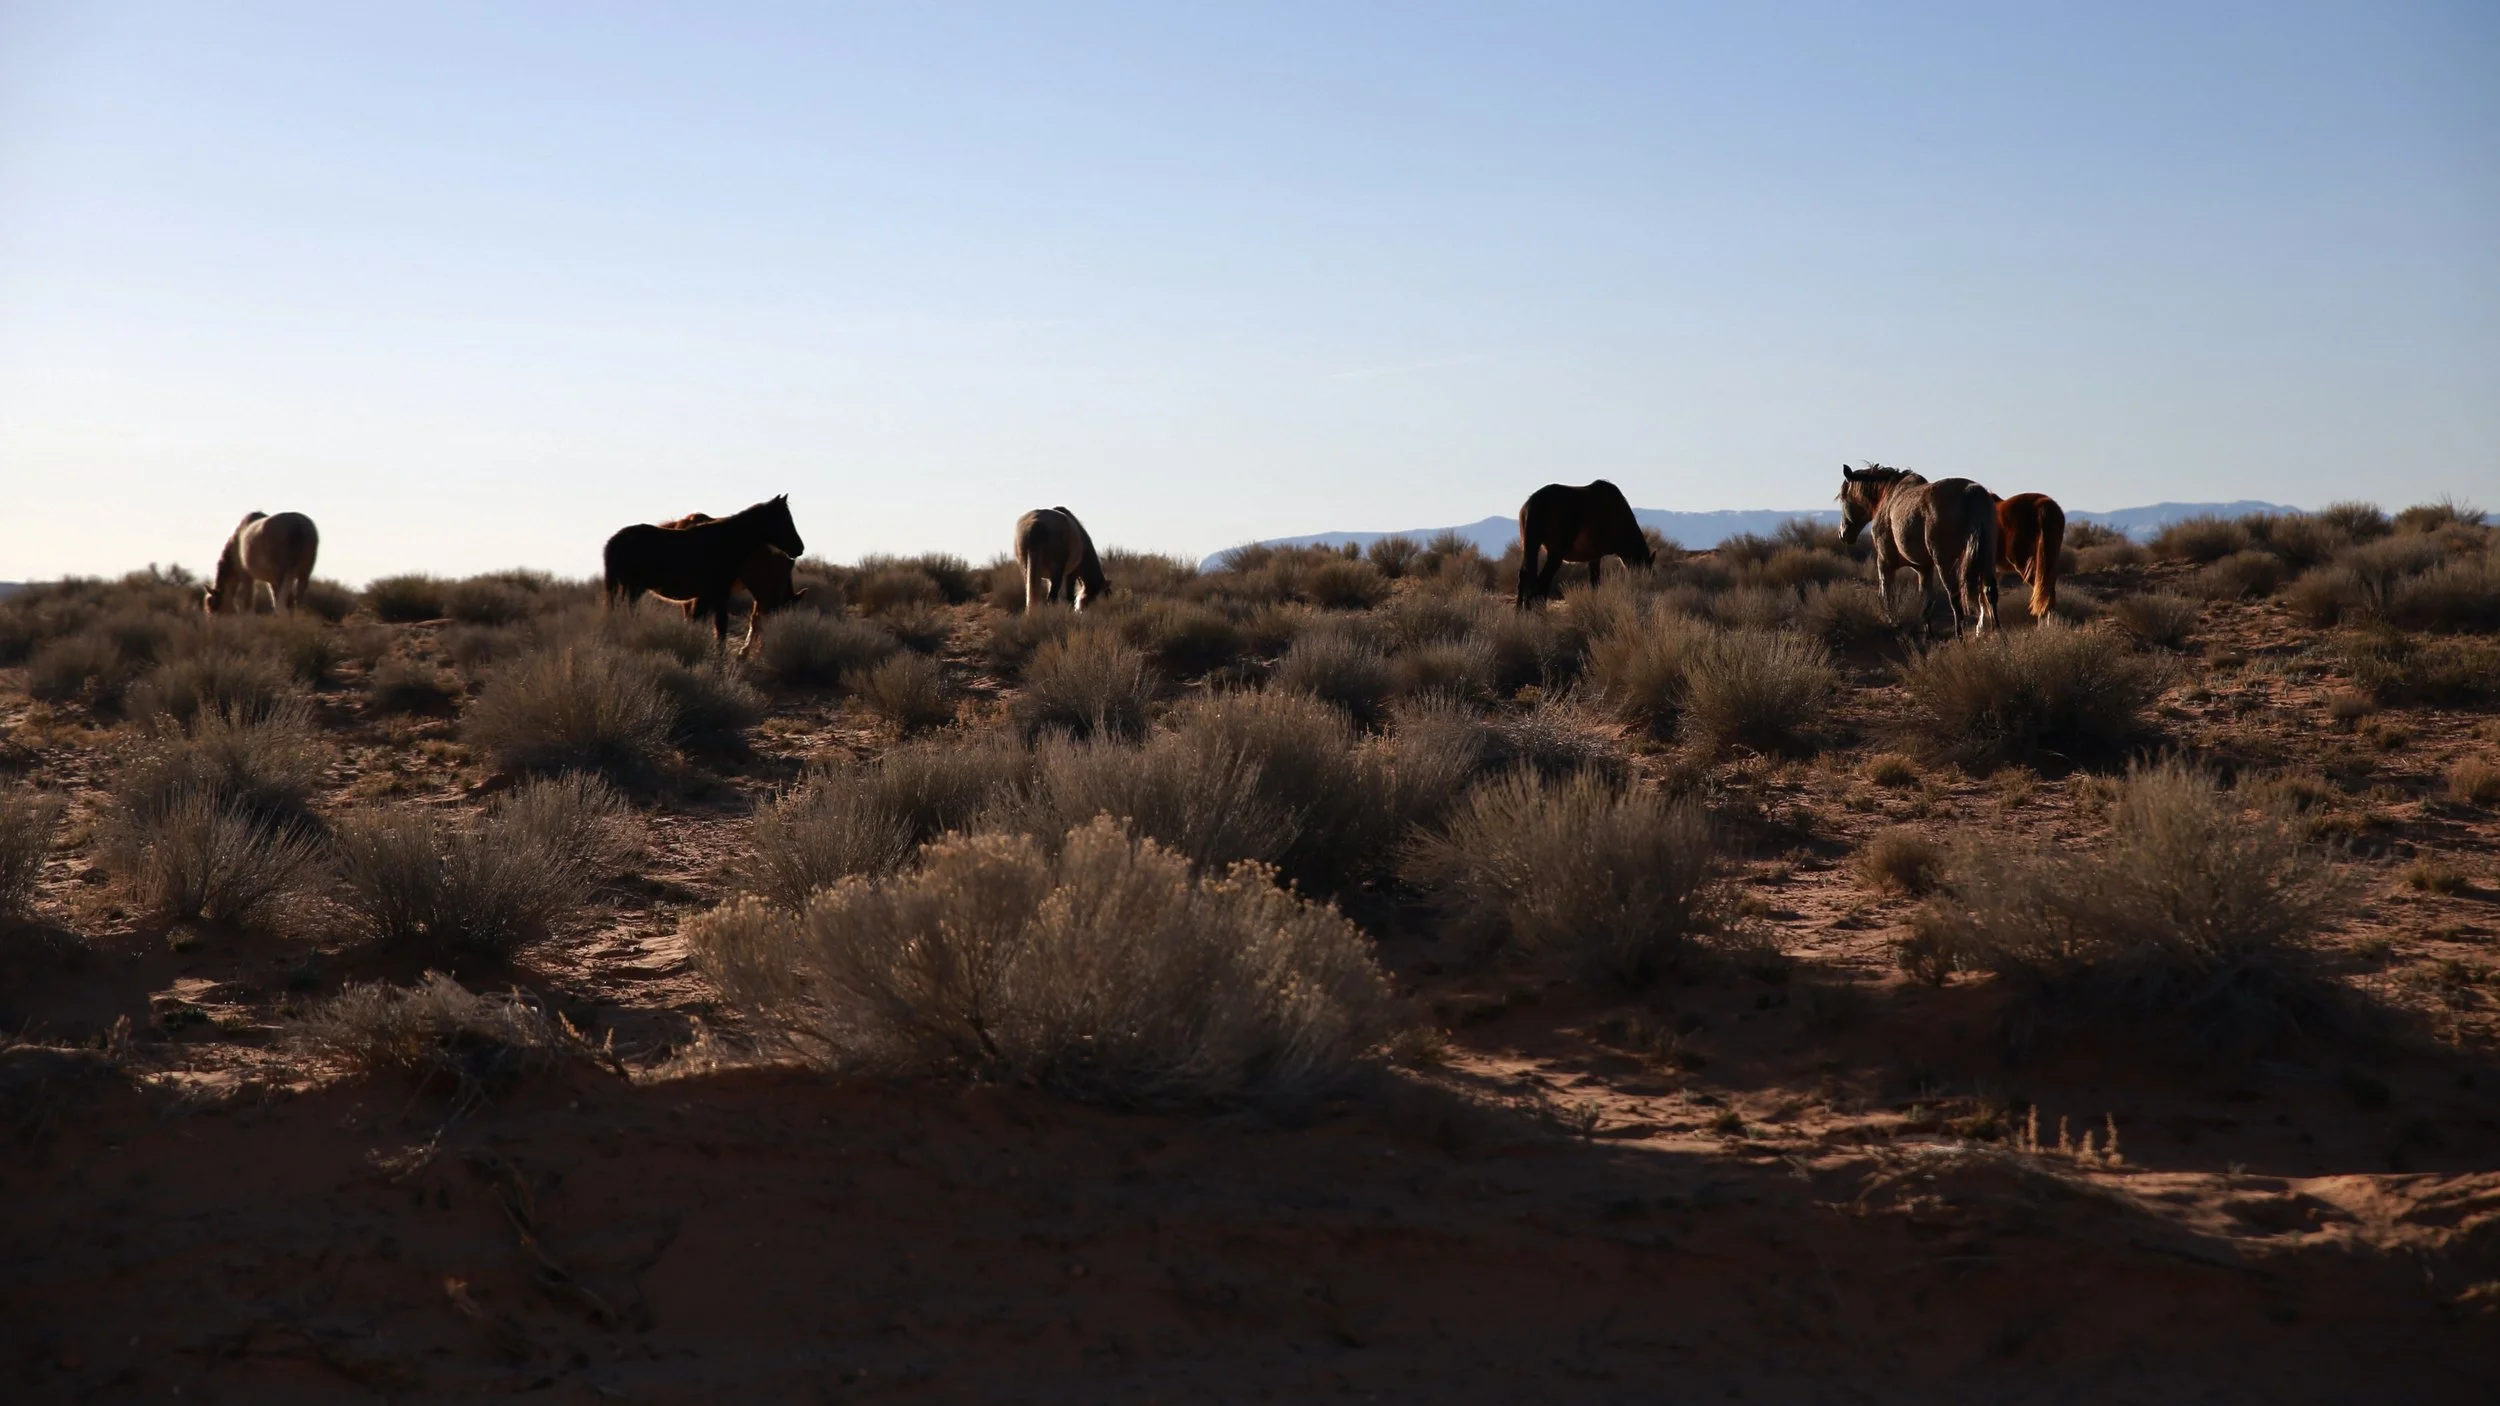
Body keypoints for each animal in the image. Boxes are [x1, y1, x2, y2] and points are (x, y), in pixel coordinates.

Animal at [1515, 480, 1654, 607]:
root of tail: (1533, 504)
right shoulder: (1597, 555)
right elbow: (1596, 582)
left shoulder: (1593, 557)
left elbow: (1594, 583)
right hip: (1555, 554)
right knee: (1542, 582)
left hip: (1529, 546)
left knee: (1524, 576)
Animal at [1836, 465, 2001, 637]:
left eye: (1844, 498)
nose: (1842, 534)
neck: (1889, 496)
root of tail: (1971, 493)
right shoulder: (1924, 568)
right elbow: (1925, 600)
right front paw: (1928, 633)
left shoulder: (1885, 561)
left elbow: (1886, 593)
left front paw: (1892, 622)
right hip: (1987, 558)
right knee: (1990, 592)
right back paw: (1998, 635)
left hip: (1945, 562)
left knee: (1956, 598)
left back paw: (1960, 637)